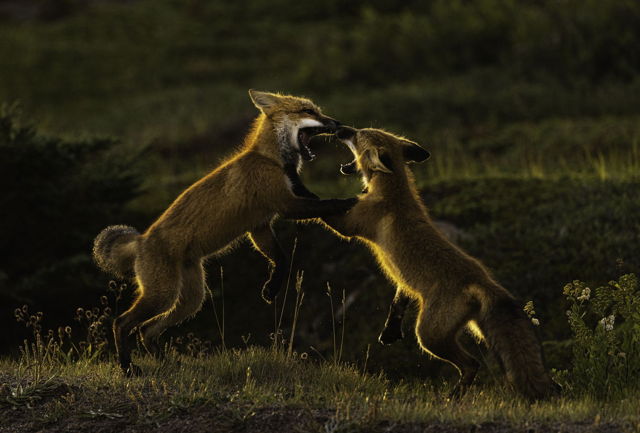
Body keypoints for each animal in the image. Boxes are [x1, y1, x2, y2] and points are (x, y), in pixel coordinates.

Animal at [93, 90, 356, 375]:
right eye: (308, 111)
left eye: (317, 110)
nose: (338, 123)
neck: (272, 160)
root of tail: (141, 240)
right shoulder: (285, 205)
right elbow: (324, 205)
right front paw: (348, 201)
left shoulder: (260, 225)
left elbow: (282, 258)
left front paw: (271, 288)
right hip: (162, 295)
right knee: (121, 323)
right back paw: (128, 367)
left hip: (190, 300)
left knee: (147, 330)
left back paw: (166, 363)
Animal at [320, 126, 558, 400]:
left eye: (358, 135)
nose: (340, 129)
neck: (392, 189)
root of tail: (482, 280)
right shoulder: (404, 283)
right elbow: (398, 302)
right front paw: (390, 330)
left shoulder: (351, 224)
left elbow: (321, 210)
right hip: (472, 330)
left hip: (428, 334)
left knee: (472, 363)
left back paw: (454, 395)